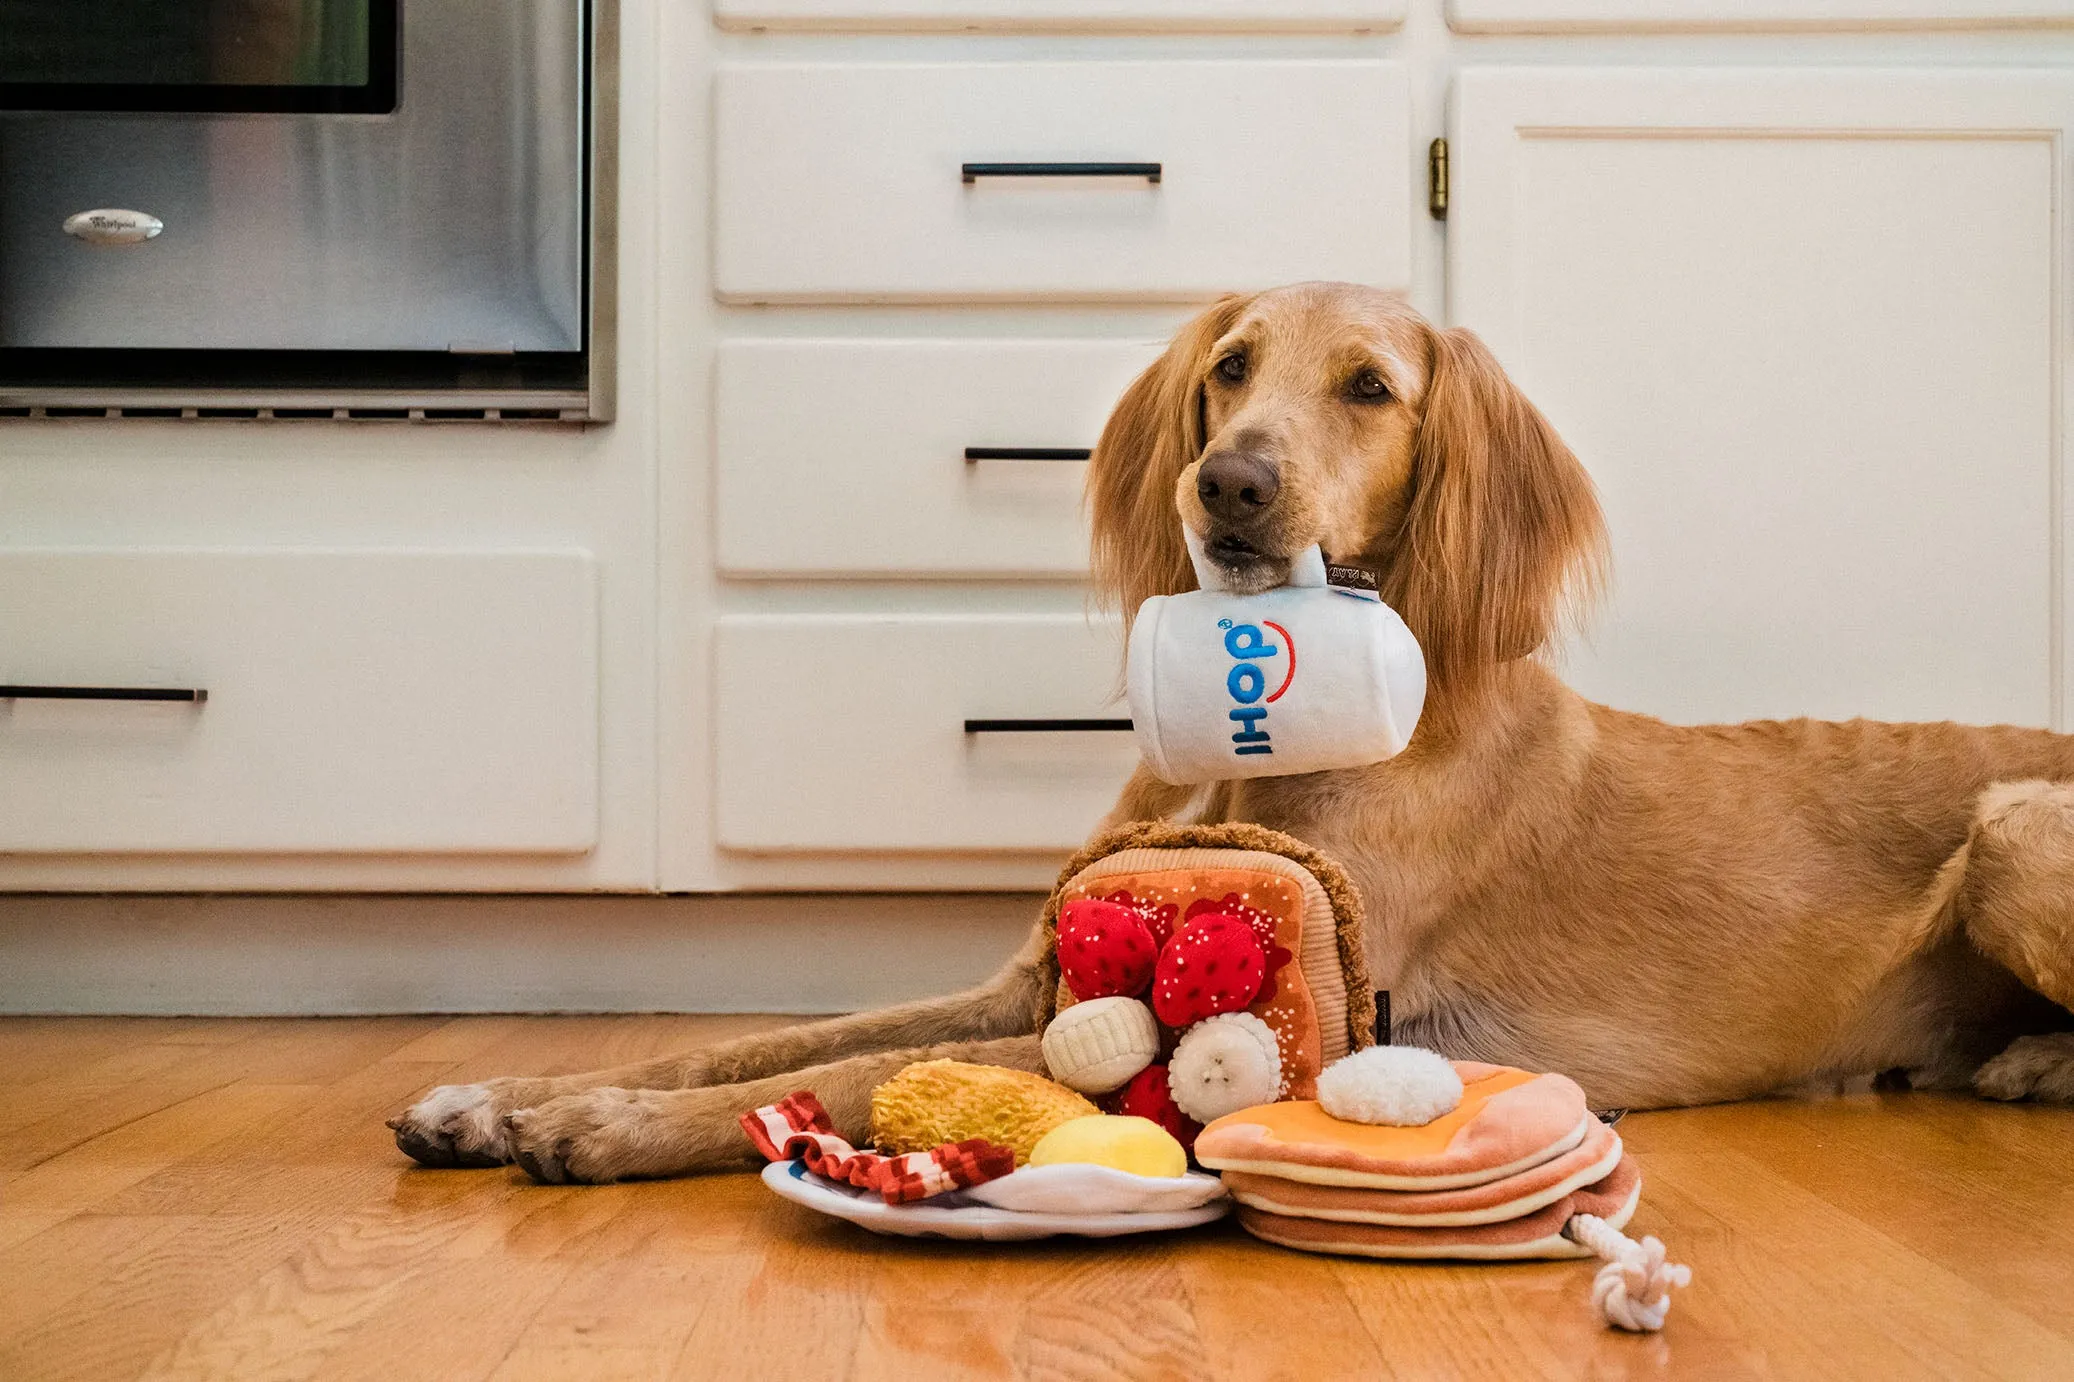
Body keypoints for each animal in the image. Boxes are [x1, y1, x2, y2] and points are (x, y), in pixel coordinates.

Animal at [389, 282, 2074, 1186]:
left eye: (1371, 387)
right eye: (1229, 368)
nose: (1231, 484)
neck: (1255, 747)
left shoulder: (1305, 1020)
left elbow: (880, 1065)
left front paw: (602, 1121)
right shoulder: (1026, 971)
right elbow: (780, 1034)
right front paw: (510, 1091)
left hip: (2008, 819)